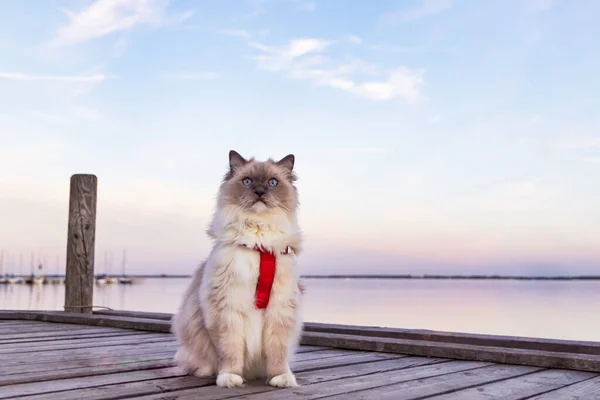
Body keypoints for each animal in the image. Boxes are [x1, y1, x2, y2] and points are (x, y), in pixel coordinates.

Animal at [172, 150, 304, 388]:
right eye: (248, 181)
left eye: (272, 183)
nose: (259, 191)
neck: (258, 244)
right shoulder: (227, 308)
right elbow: (230, 350)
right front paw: (230, 378)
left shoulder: (280, 308)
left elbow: (277, 351)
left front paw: (280, 379)